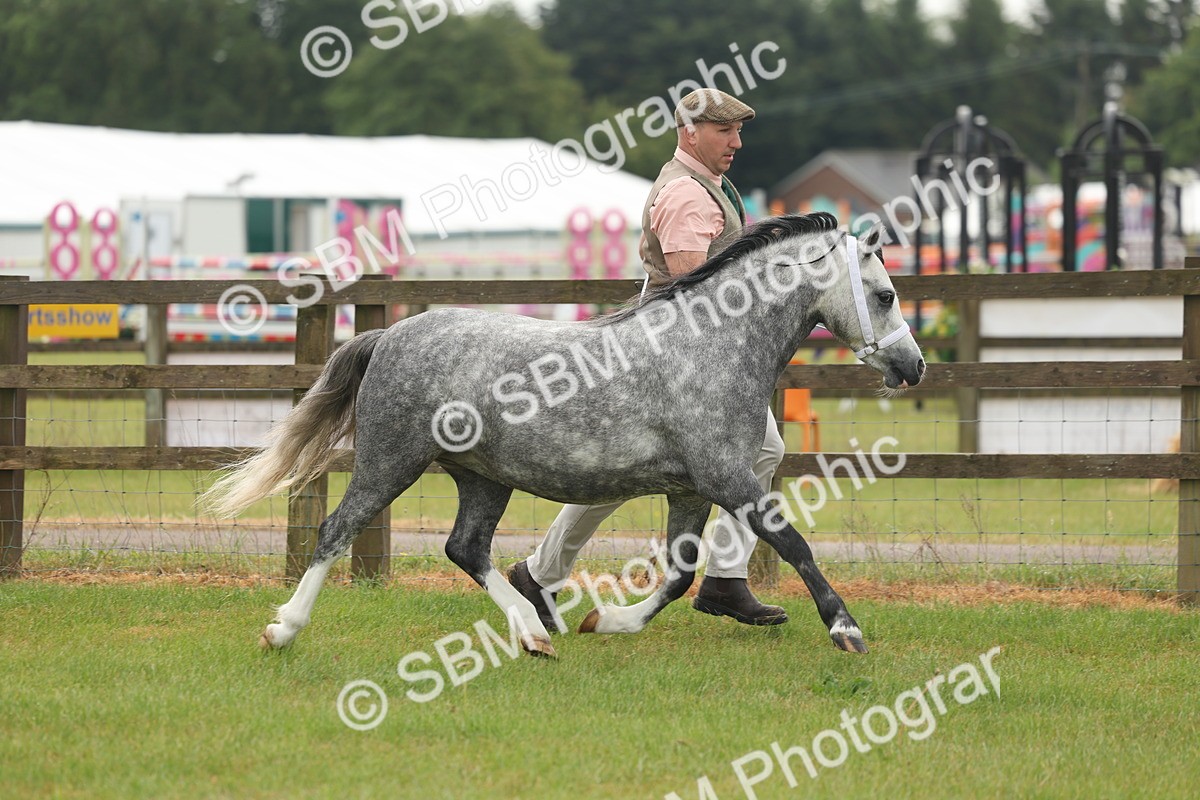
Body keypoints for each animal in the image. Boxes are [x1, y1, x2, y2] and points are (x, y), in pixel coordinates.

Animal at [203, 212, 925, 658]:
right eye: (886, 295)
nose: (913, 366)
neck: (711, 347)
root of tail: (389, 334)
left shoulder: (691, 490)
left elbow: (679, 576)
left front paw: (606, 620)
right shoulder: (729, 478)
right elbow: (793, 543)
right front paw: (846, 629)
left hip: (482, 477)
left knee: (466, 549)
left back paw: (534, 633)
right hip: (392, 459)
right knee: (336, 531)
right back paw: (283, 630)